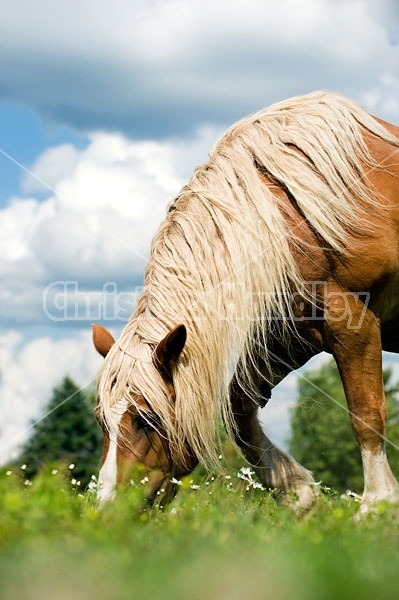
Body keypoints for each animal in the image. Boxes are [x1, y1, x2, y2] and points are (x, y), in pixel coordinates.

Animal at [91, 91, 399, 512]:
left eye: (146, 420)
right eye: (101, 421)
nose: (108, 511)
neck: (286, 218)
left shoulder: (354, 322)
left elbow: (366, 414)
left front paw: (376, 506)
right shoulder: (284, 339)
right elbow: (239, 417)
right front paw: (299, 494)